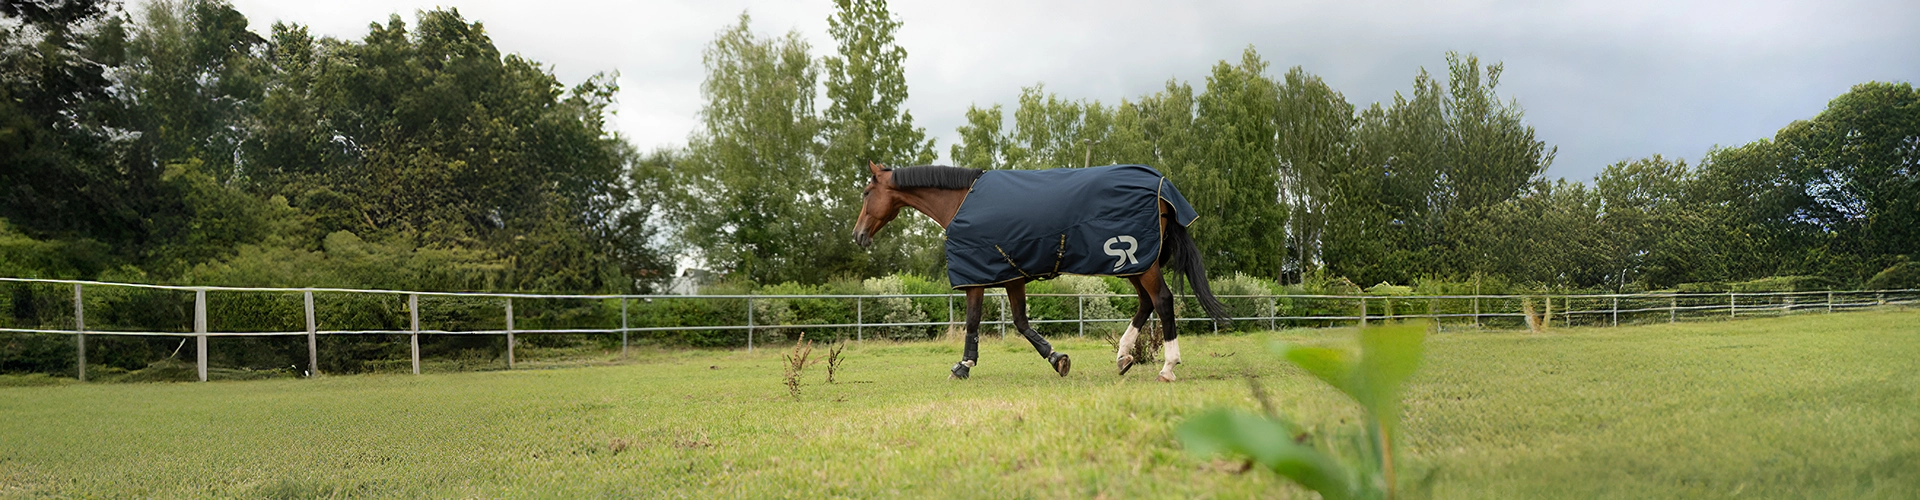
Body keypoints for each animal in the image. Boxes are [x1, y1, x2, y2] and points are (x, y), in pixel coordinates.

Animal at [853, 162, 1229, 382]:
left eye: (867, 192)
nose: (858, 236)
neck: (962, 202)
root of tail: (1161, 186)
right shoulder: (1012, 276)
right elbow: (1021, 322)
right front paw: (1057, 358)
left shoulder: (977, 277)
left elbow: (974, 321)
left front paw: (964, 366)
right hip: (1134, 264)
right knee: (1146, 303)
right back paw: (1123, 357)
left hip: (1140, 261)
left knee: (1162, 301)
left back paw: (1167, 367)